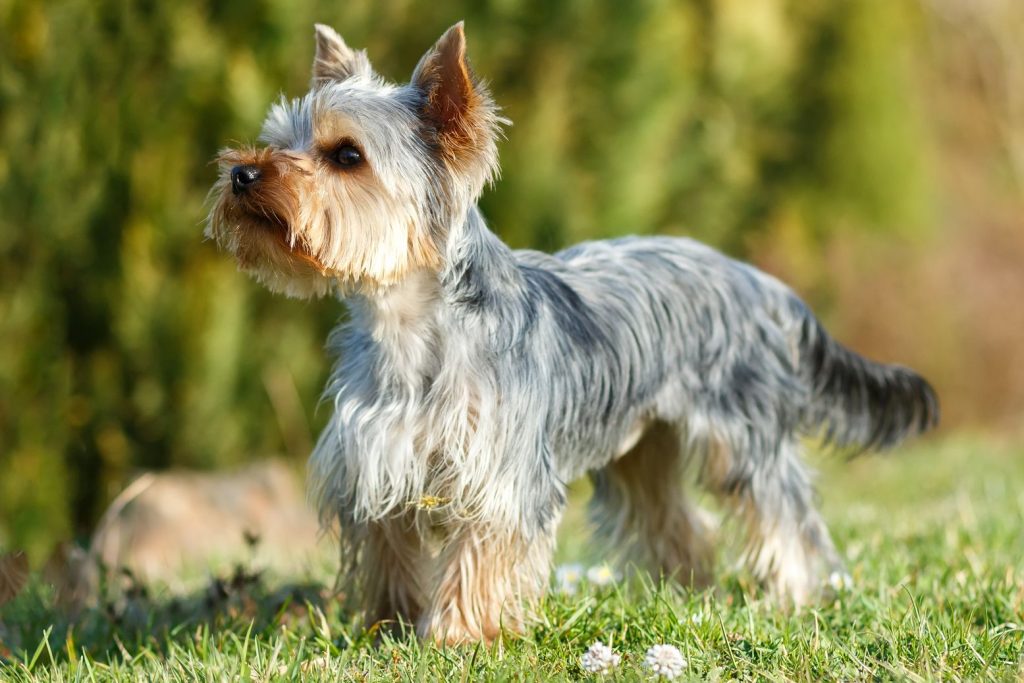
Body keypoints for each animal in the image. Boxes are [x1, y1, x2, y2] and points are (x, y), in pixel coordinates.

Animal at [203, 20, 937, 643]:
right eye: (279, 138)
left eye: (346, 155)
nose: (241, 172)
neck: (407, 325)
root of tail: (758, 281)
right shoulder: (375, 462)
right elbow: (389, 552)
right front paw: (389, 628)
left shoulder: (502, 470)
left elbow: (482, 555)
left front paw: (458, 638)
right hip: (643, 443)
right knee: (672, 517)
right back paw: (685, 591)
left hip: (743, 431)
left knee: (782, 510)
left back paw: (795, 596)